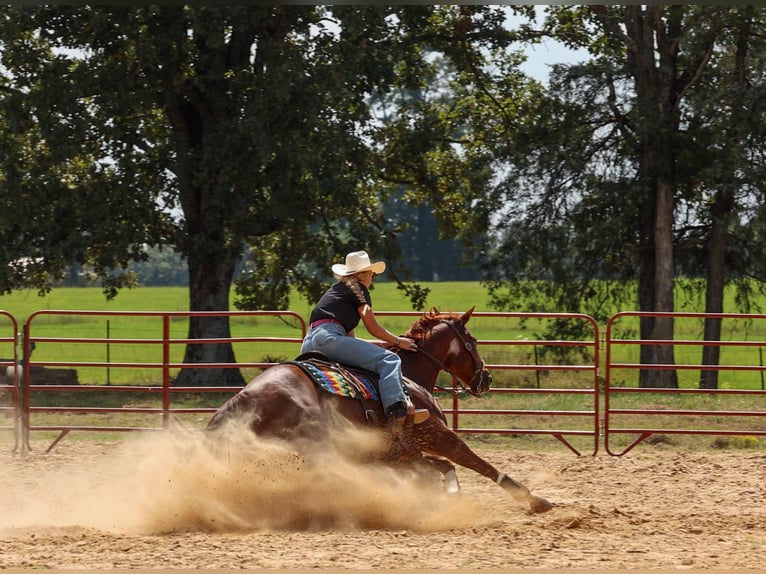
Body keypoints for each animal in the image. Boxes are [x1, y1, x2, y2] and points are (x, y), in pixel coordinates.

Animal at [206, 307, 552, 514]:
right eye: (473, 340)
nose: (487, 378)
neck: (408, 377)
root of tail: (244, 397)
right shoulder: (435, 434)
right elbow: (472, 461)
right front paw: (532, 498)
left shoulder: (398, 453)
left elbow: (441, 467)